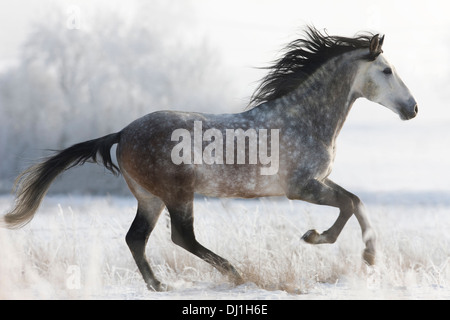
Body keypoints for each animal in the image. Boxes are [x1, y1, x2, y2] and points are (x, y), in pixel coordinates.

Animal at [3, 27, 418, 290]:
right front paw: (320, 239)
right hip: (177, 194)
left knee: (136, 238)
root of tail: (121, 133)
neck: (302, 119)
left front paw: (368, 259)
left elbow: (356, 201)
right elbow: (349, 204)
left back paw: (160, 285)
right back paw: (233, 275)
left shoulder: (318, 181)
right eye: (386, 70)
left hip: (150, 198)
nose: (413, 109)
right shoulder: (301, 187)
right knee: (181, 236)